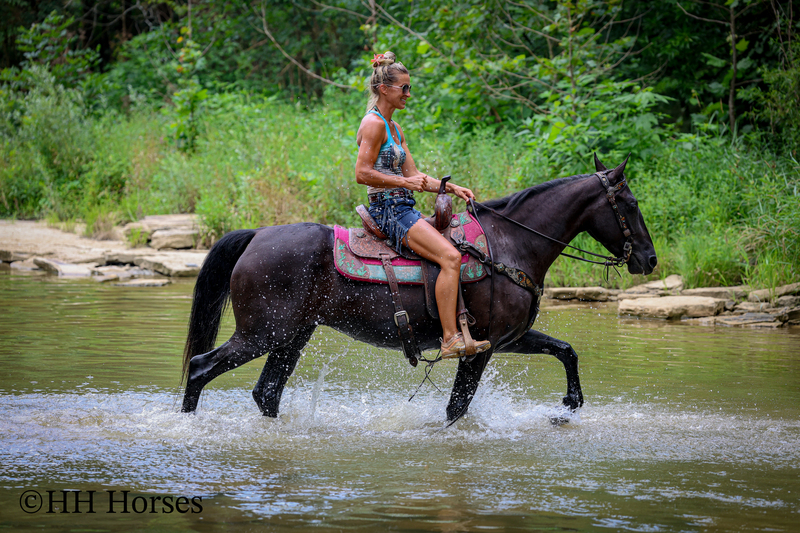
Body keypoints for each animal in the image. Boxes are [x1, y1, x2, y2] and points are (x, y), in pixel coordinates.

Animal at [180, 155, 657, 422]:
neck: (510, 244)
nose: (649, 259)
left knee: (266, 392)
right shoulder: (479, 348)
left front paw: (572, 401)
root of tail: (257, 235)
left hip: (291, 336)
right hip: (261, 333)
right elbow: (457, 407)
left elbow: (565, 350)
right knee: (202, 368)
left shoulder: (506, 339)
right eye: (632, 204)